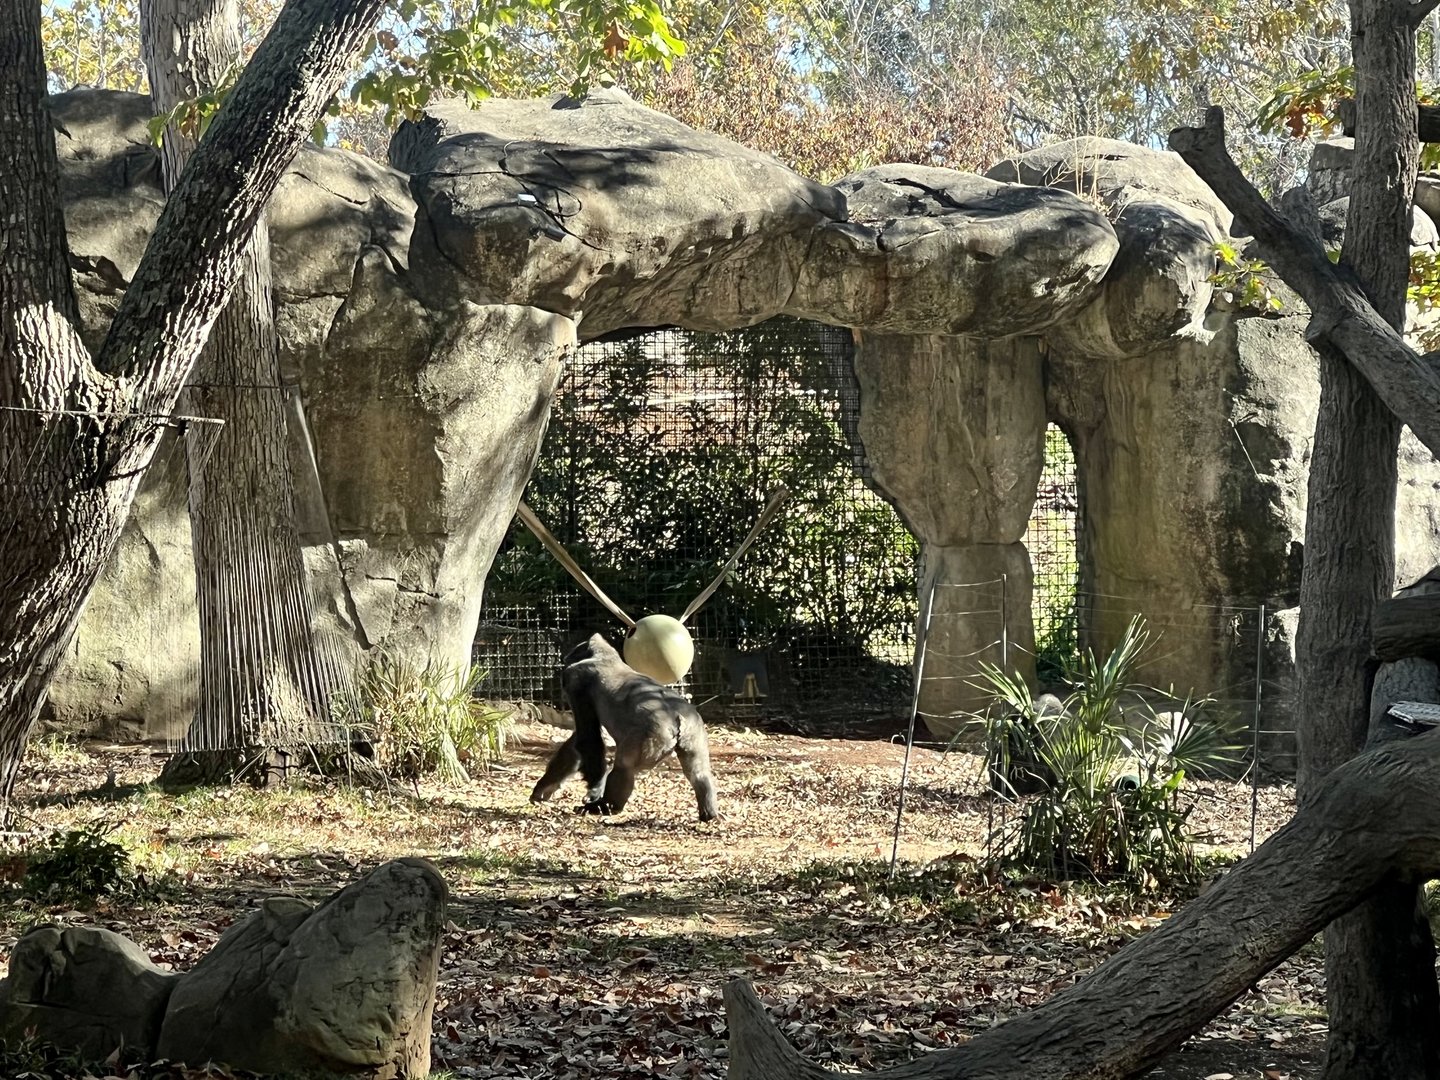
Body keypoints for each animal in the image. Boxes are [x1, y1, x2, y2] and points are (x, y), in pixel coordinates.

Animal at [530, 633, 719, 822]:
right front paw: (544, 788)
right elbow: (578, 742)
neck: (606, 656)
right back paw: (708, 812)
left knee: (624, 766)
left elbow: (588, 739)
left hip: (654, 734)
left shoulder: (576, 680)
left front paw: (594, 790)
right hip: (694, 728)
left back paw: (605, 807)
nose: (565, 658)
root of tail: (677, 717)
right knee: (699, 773)